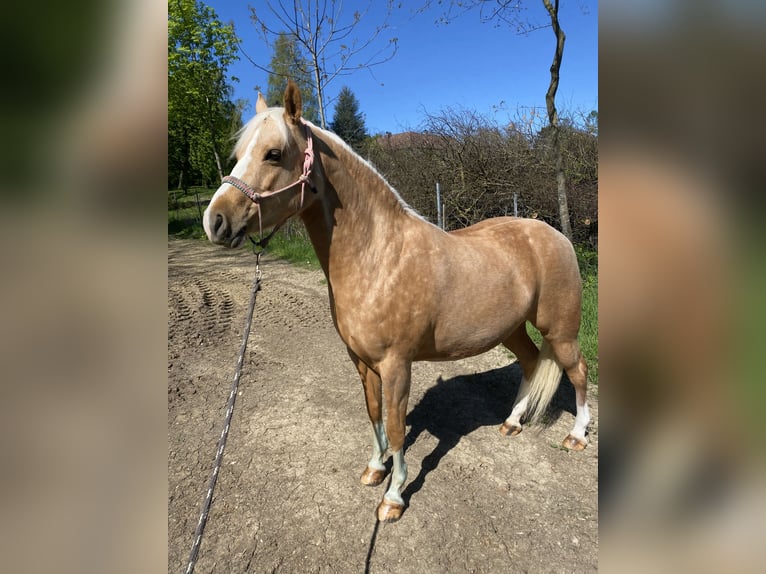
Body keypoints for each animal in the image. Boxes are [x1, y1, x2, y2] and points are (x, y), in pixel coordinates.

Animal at [203, 81, 590, 523]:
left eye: (273, 153)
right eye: (237, 156)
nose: (215, 221)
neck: (378, 256)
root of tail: (554, 234)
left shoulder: (396, 365)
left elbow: (396, 425)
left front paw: (394, 496)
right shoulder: (362, 362)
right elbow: (374, 414)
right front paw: (375, 469)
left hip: (560, 330)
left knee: (578, 371)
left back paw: (577, 436)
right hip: (511, 330)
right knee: (529, 363)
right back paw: (511, 422)